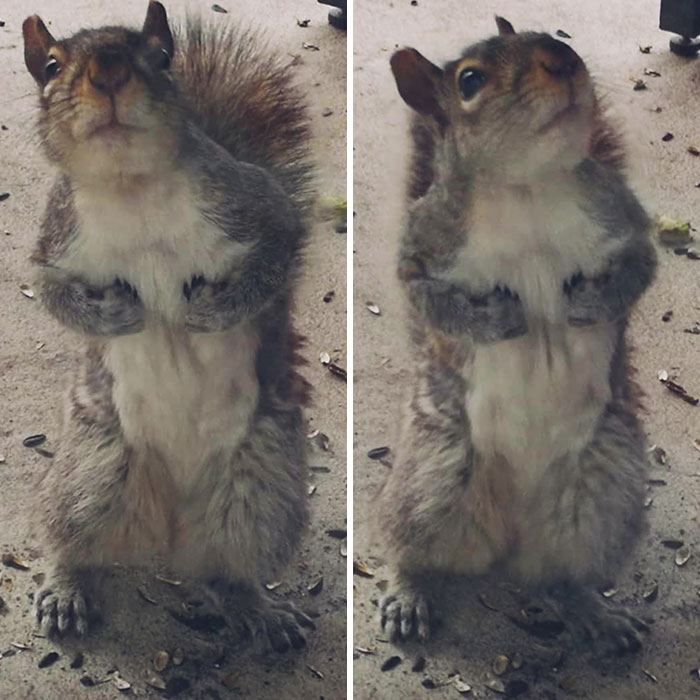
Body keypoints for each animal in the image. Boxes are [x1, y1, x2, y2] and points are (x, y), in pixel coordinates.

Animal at [22, 2, 316, 652]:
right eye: (50, 66)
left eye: (160, 58)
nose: (108, 73)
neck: (132, 188)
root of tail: (169, 517)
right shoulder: (55, 241)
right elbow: (55, 295)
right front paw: (118, 315)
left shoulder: (256, 205)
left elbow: (279, 253)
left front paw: (210, 311)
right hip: (91, 469)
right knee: (73, 539)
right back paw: (66, 589)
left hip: (260, 489)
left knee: (228, 565)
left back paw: (257, 609)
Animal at [375, 16, 657, 657]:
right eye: (469, 81)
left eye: (552, 34)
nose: (562, 61)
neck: (529, 189)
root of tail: (509, 534)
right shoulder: (423, 244)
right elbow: (428, 296)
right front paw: (495, 321)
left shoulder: (623, 220)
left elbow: (638, 269)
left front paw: (590, 304)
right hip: (432, 476)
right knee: (410, 543)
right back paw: (408, 592)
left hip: (603, 497)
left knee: (567, 575)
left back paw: (595, 611)